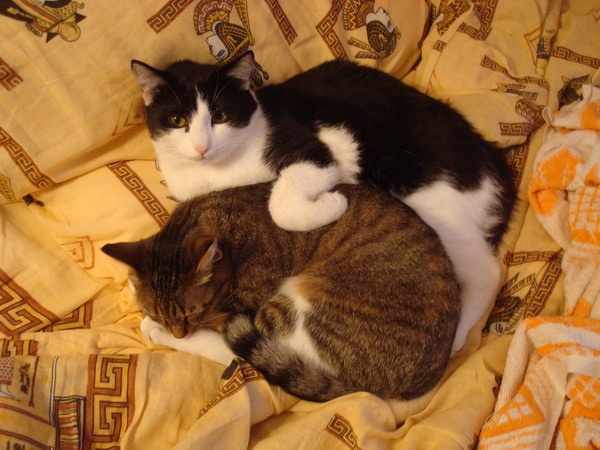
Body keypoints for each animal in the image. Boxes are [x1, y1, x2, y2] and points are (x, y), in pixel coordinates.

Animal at [102, 180, 461, 402]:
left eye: (193, 312)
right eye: (156, 310)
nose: (176, 332)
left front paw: (160, 330)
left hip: (301, 304)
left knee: (237, 353)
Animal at [130, 51, 516, 353]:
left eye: (221, 116)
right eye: (177, 120)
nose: (202, 147)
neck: (218, 171)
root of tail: (493, 158)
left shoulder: (318, 150)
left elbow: (280, 203)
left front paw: (332, 203)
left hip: (433, 202)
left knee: (488, 271)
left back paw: (455, 339)